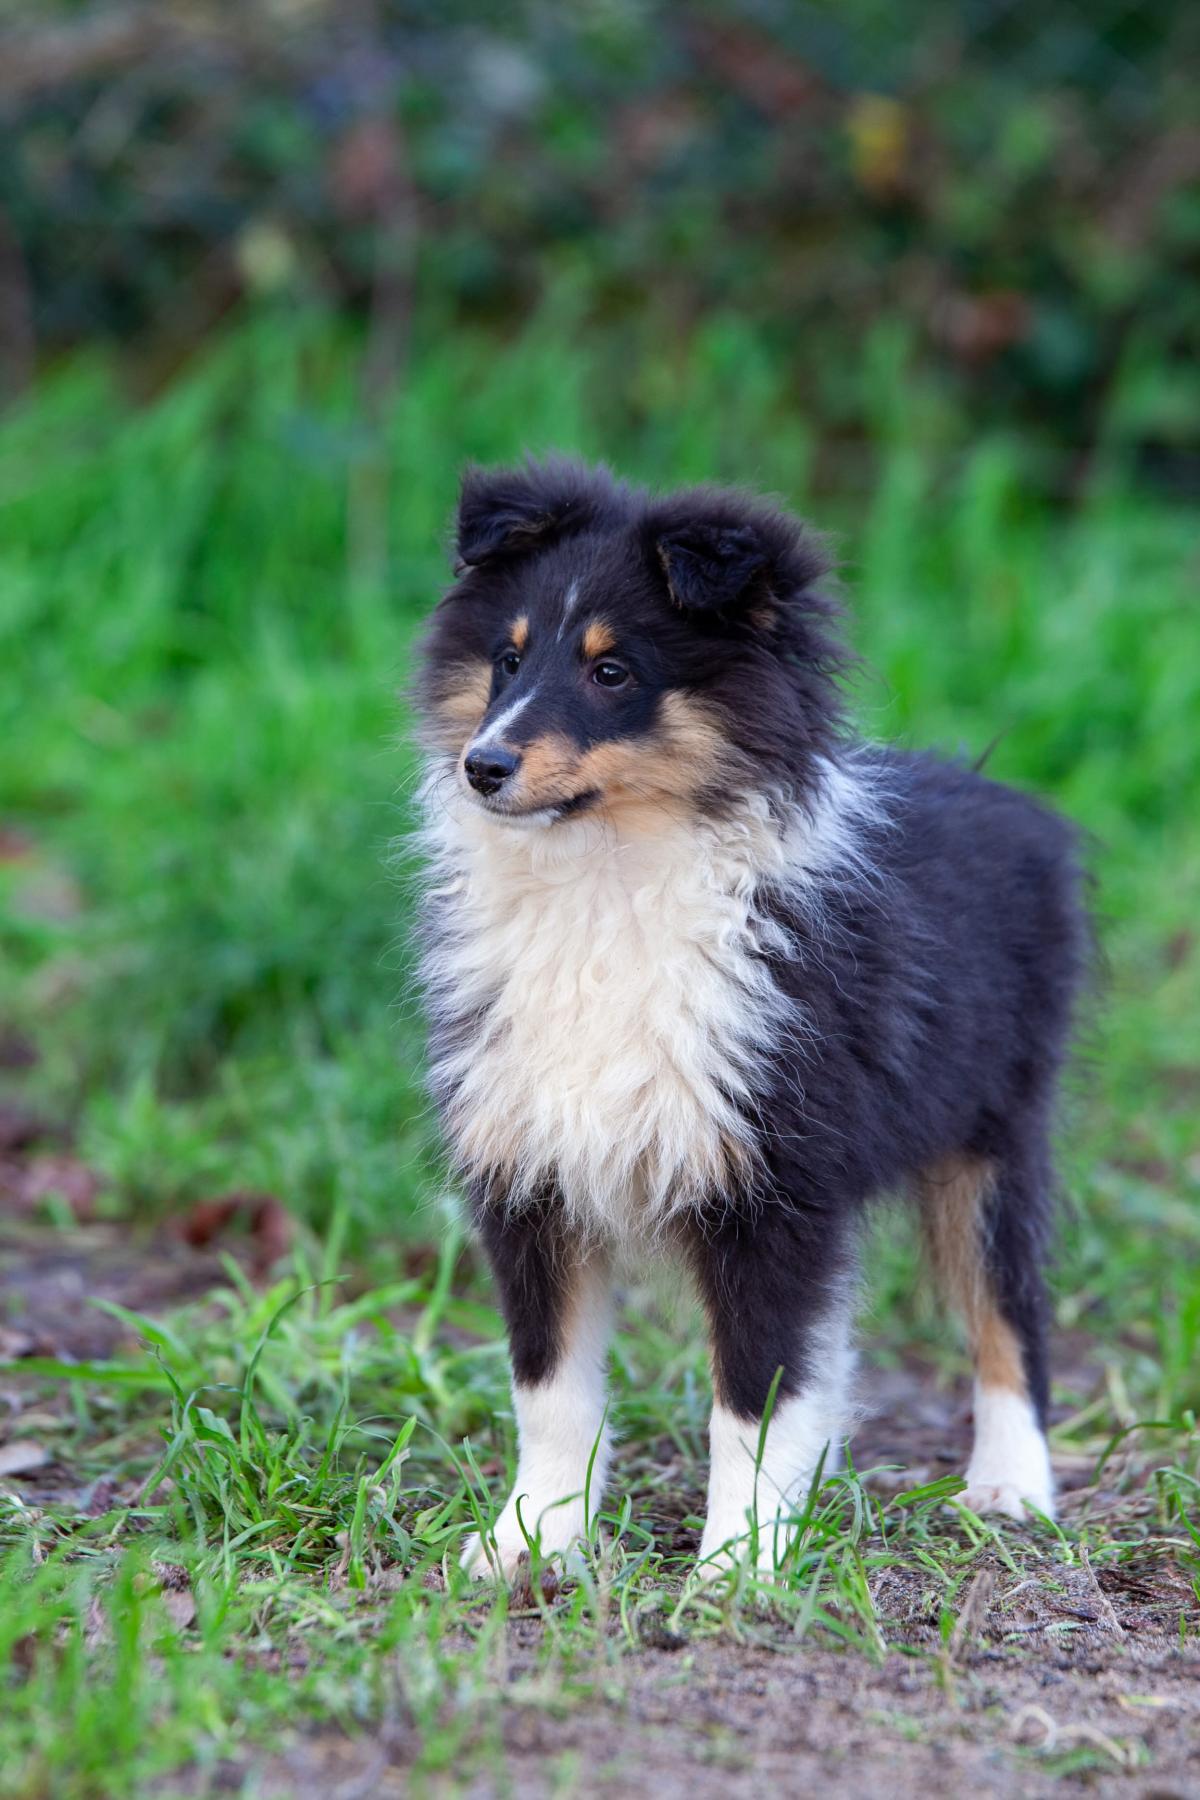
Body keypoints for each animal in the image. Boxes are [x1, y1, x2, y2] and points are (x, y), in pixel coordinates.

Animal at [417, 460, 1093, 1576]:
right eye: (508, 658)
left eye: (613, 672)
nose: (483, 766)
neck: (606, 879)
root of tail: (1012, 800)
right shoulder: (529, 1167)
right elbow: (550, 1386)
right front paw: (532, 1540)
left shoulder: (772, 1183)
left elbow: (755, 1397)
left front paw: (737, 1565)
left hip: (994, 1133)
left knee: (1010, 1314)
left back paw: (1010, 1486)